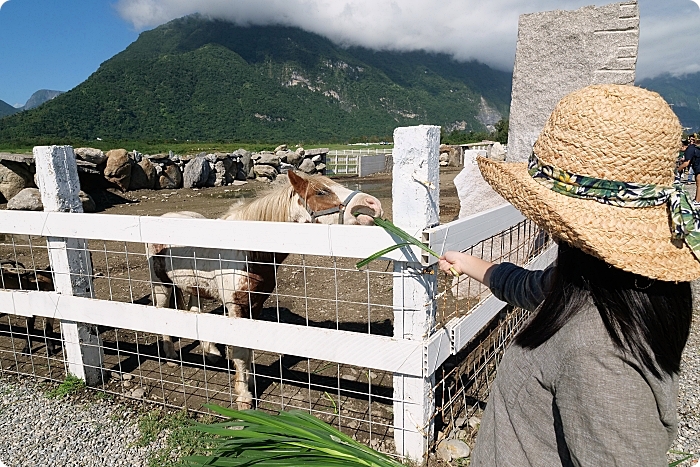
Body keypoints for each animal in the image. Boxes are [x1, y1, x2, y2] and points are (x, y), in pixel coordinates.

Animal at [144, 172, 380, 410]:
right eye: (321, 191)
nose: (374, 205)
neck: (247, 251)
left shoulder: (256, 305)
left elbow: (249, 348)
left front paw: (249, 382)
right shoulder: (236, 307)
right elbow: (240, 352)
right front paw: (244, 397)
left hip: (195, 287)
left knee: (195, 312)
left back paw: (211, 354)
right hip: (161, 285)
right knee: (162, 313)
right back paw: (171, 358)